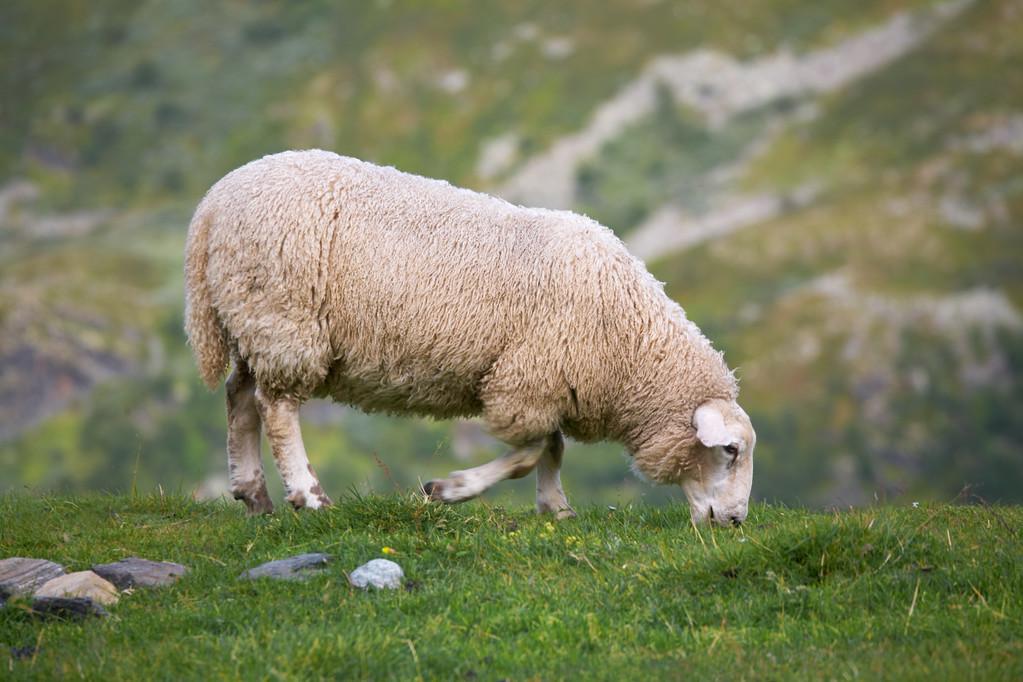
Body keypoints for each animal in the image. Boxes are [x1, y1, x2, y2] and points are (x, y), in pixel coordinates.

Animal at [188, 149, 757, 523]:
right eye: (729, 450)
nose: (735, 522)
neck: (630, 341)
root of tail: (213, 204)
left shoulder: (547, 385)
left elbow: (551, 449)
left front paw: (556, 508)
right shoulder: (526, 381)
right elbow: (530, 453)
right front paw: (447, 489)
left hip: (252, 319)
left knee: (240, 397)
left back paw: (253, 495)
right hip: (284, 320)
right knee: (277, 410)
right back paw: (308, 496)